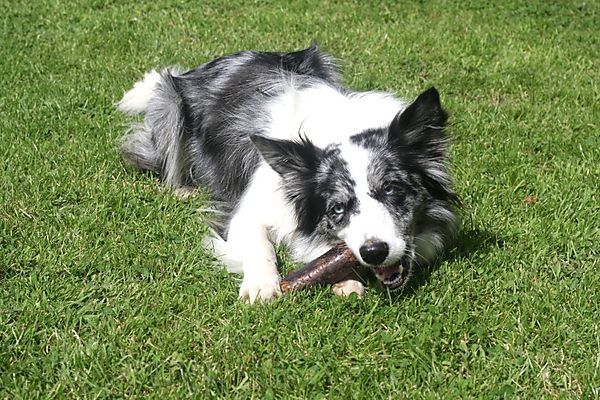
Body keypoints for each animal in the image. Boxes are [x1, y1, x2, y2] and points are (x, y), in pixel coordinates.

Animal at [117, 45, 458, 304]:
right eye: (337, 208)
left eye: (393, 190)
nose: (374, 252)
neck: (338, 130)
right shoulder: (247, 211)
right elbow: (260, 244)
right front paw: (262, 285)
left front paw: (344, 280)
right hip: (170, 105)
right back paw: (182, 188)